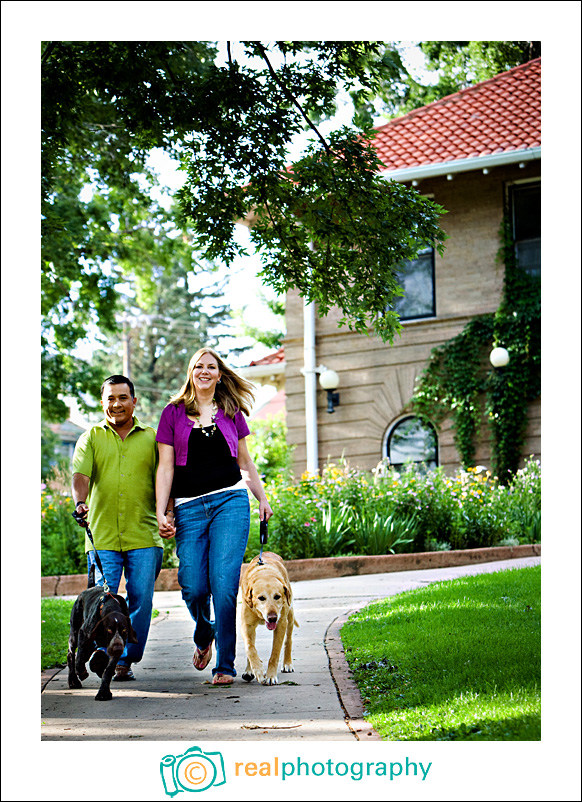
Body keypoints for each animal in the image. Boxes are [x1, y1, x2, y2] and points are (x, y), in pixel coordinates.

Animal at [240, 552, 298, 684]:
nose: (272, 618)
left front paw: (271, 676)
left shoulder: (281, 624)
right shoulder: (247, 625)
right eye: (261, 598)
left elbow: (275, 654)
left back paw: (287, 663)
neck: (264, 573)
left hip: (290, 616)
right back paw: (249, 670)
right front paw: (257, 670)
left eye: (277, 596)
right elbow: (250, 648)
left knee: (288, 640)